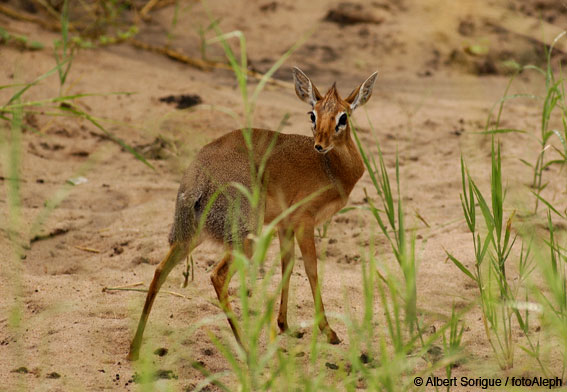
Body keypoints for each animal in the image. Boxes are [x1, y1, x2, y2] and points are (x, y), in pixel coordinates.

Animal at [127, 68, 378, 362]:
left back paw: (134, 350)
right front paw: (330, 332)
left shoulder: (284, 225)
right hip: (244, 239)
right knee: (217, 276)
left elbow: (288, 265)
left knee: (159, 270)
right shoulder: (304, 222)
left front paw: (284, 325)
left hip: (192, 236)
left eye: (343, 116)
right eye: (312, 114)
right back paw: (247, 349)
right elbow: (312, 269)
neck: (332, 168)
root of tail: (197, 179)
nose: (320, 144)